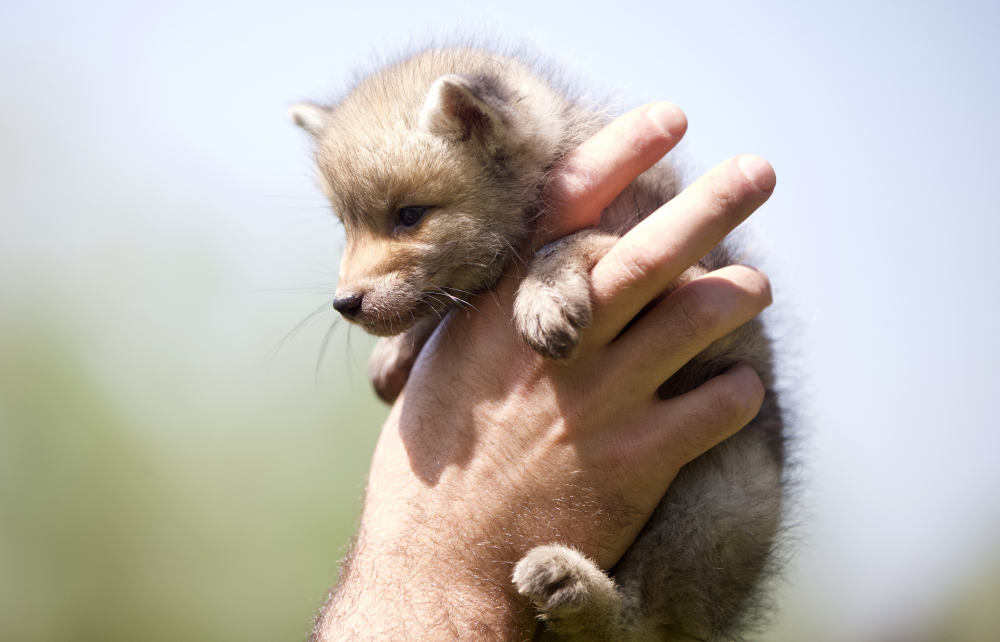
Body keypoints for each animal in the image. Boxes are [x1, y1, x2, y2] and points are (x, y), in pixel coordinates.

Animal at [290, 47, 788, 636]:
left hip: (714, 500)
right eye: (346, 225)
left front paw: (542, 294)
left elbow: (573, 240)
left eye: (409, 215)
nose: (345, 303)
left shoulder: (700, 283)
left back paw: (574, 586)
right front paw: (400, 350)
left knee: (643, 624)